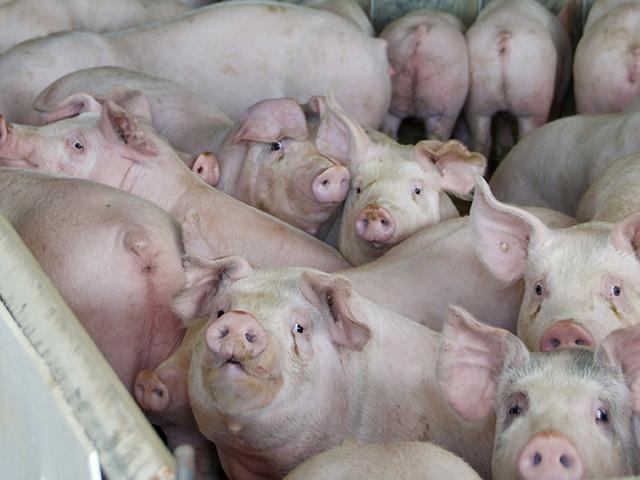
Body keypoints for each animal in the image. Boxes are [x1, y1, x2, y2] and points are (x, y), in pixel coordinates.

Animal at [465, 0, 571, 157]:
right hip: (532, 100)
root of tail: (503, 36)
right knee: (525, 136)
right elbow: (558, 102)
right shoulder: (563, 80)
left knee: (481, 139)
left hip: (477, 101)